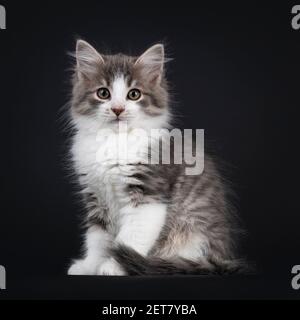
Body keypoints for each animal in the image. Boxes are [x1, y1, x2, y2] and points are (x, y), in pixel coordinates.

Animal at [67, 40, 245, 276]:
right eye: (103, 93)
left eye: (134, 94)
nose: (117, 109)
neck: (114, 141)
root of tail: (222, 257)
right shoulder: (95, 197)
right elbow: (97, 238)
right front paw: (90, 265)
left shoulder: (147, 195)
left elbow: (130, 238)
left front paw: (112, 267)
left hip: (194, 232)